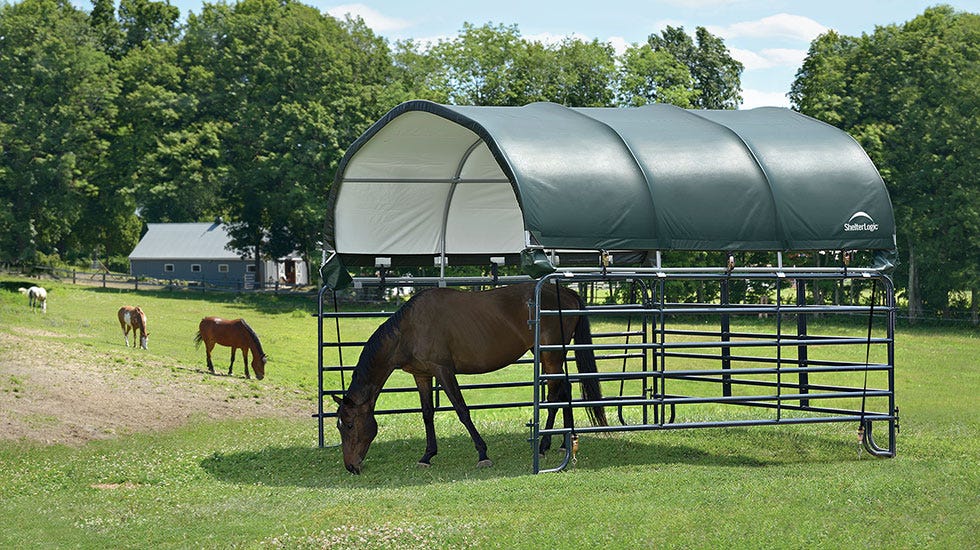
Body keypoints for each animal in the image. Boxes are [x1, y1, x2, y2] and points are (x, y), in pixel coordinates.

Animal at [334, 282, 604, 476]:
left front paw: (483, 454)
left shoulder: (443, 371)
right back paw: (564, 442)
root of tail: (567, 292)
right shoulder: (423, 375)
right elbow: (427, 414)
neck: (409, 329)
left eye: (349, 425)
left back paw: (543, 445)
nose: (351, 466)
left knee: (555, 394)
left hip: (551, 356)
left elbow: (462, 410)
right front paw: (427, 456)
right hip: (550, 356)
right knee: (564, 389)